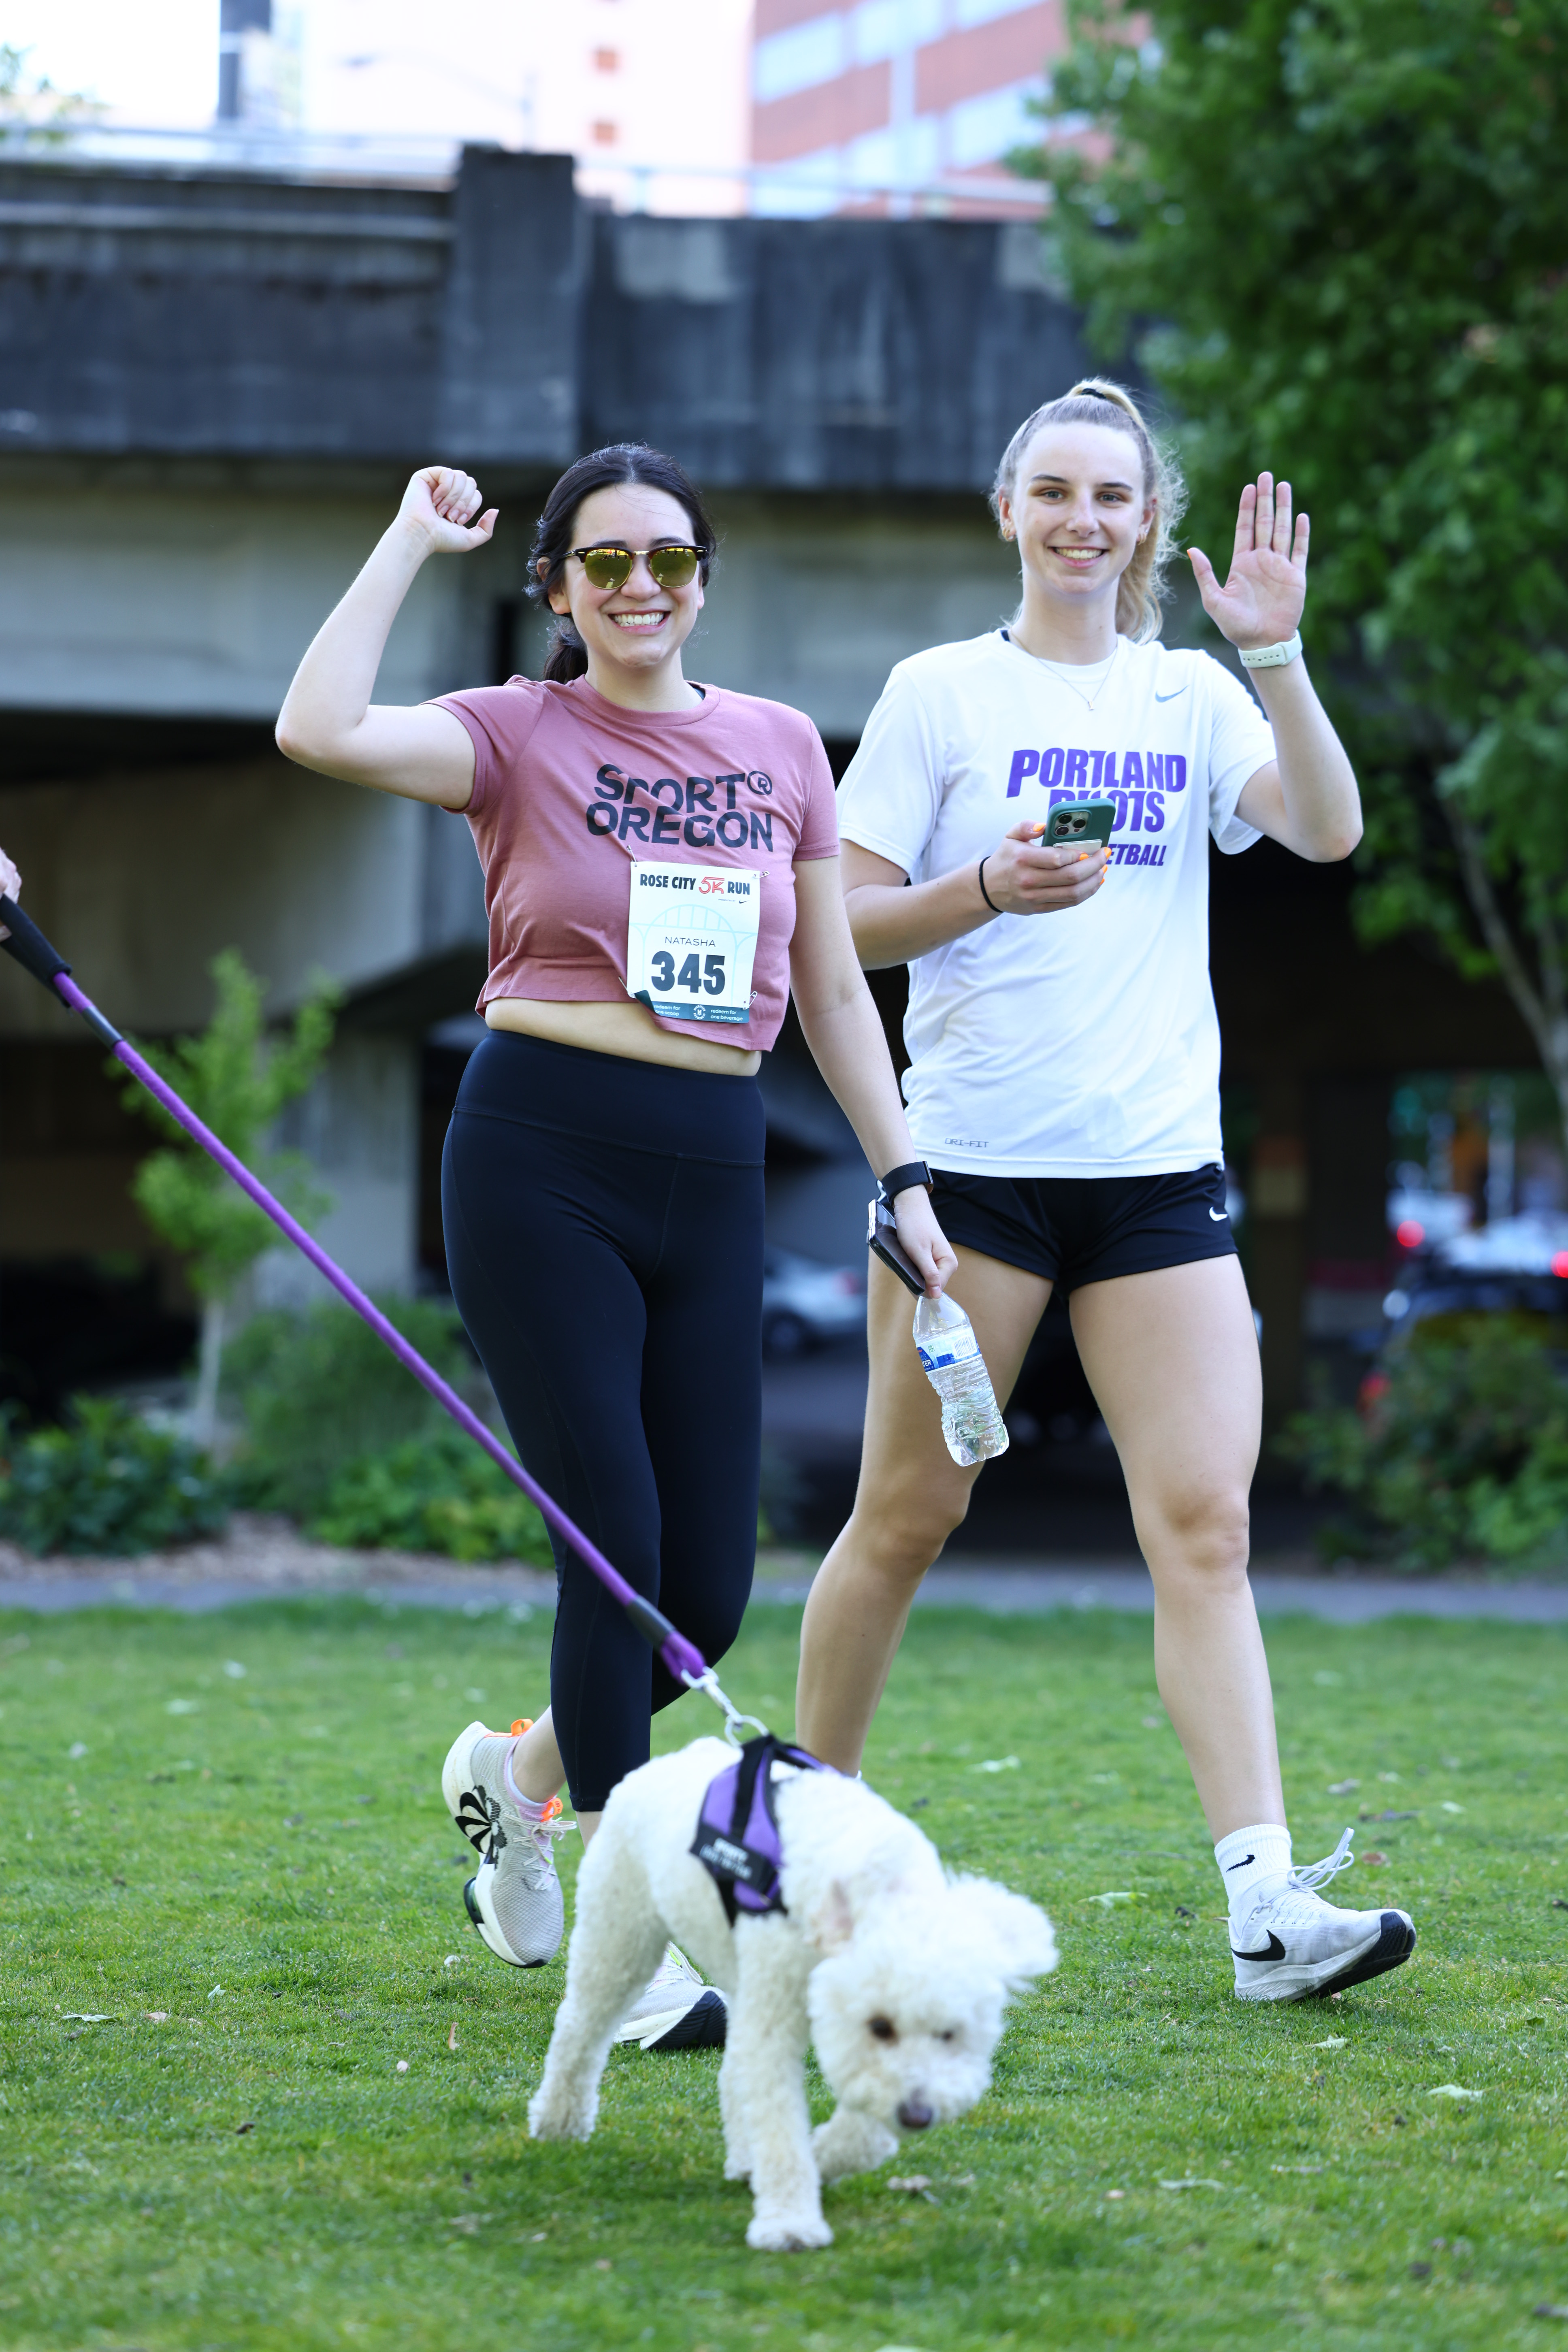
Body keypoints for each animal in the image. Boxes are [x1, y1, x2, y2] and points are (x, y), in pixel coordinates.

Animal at [528, 1734, 1058, 2250]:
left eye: (951, 2035)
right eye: (880, 2026)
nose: (917, 2116)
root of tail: (667, 1762)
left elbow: (865, 2128)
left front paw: (821, 2159)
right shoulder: (781, 2018)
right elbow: (781, 2122)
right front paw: (789, 2223)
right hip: (621, 1932)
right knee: (580, 2026)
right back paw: (559, 2121)